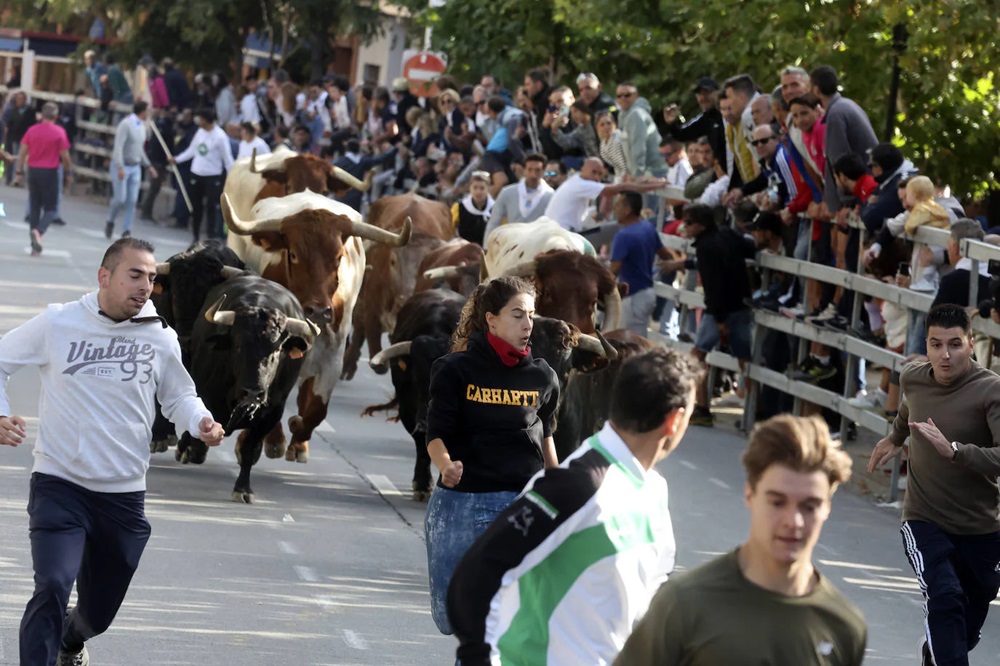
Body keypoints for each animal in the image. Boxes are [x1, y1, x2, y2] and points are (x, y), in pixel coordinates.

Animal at [181, 272, 316, 500]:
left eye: (277, 350)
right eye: (238, 345)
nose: (253, 392)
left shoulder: (271, 414)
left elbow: (248, 450)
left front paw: (243, 489)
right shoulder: (204, 394)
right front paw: (192, 449)